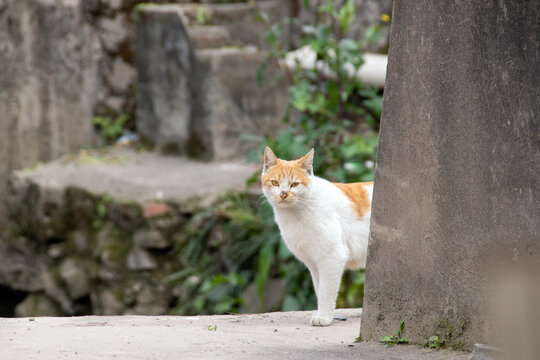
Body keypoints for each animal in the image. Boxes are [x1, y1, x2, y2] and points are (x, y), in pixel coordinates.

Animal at [260, 146, 372, 326]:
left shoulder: (333, 258)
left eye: (295, 184)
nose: (283, 194)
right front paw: (324, 314)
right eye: (275, 183)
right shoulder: (314, 264)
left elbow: (326, 291)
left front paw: (324, 318)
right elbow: (320, 290)